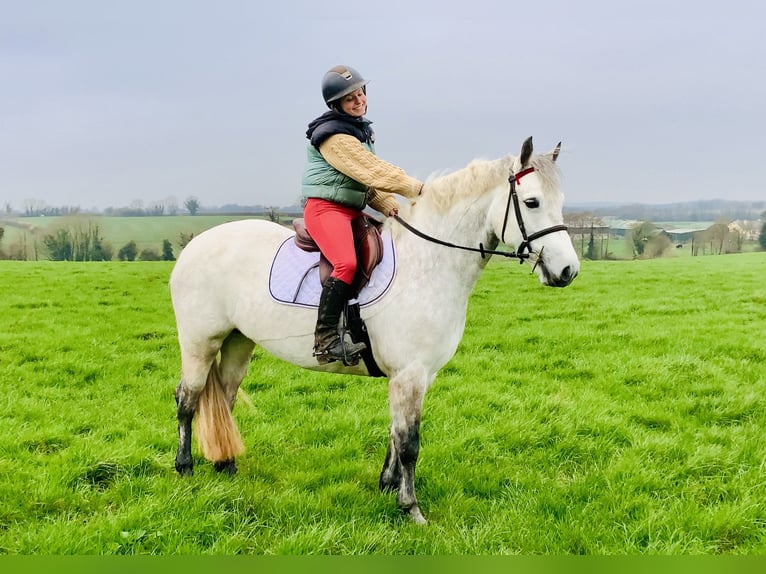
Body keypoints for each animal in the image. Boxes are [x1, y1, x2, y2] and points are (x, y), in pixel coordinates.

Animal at [169, 137, 580, 524]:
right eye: (531, 202)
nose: (568, 271)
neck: (428, 263)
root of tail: (194, 246)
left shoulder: (417, 375)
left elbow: (395, 434)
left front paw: (387, 485)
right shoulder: (410, 374)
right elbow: (409, 442)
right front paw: (410, 507)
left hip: (239, 342)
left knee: (224, 398)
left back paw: (226, 466)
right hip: (199, 343)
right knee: (187, 399)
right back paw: (185, 468)